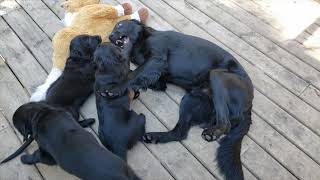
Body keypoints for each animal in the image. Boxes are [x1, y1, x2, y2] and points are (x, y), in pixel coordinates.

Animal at [10, 102, 140, 179]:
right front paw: (88, 121)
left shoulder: (47, 155)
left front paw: (24, 158)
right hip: (130, 172)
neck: (40, 113)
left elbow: (36, 156)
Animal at [109, 20, 254, 180]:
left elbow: (133, 73)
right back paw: (154, 137)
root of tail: (249, 106)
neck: (144, 39)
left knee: (225, 123)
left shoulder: (157, 58)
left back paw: (213, 133)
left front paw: (116, 88)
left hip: (217, 76)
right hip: (190, 100)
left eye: (120, 25)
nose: (110, 37)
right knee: (179, 133)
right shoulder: (158, 79)